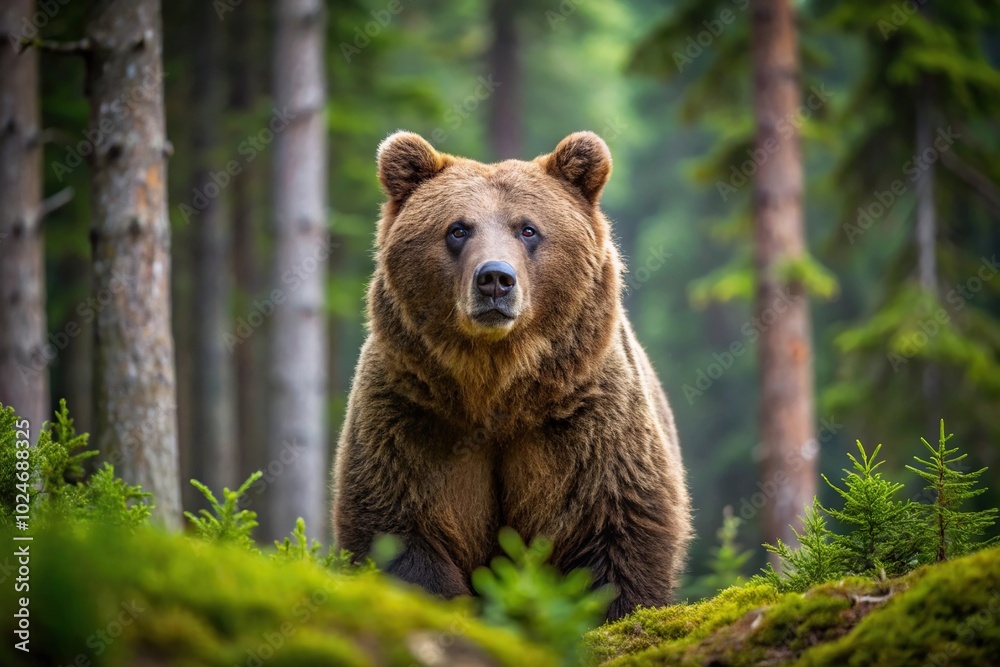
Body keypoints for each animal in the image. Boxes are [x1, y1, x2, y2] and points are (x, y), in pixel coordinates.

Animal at [332, 130, 692, 621]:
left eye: (528, 229)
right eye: (458, 229)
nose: (495, 279)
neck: (497, 388)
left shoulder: (590, 422)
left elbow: (616, 525)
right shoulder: (413, 416)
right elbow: (401, 529)